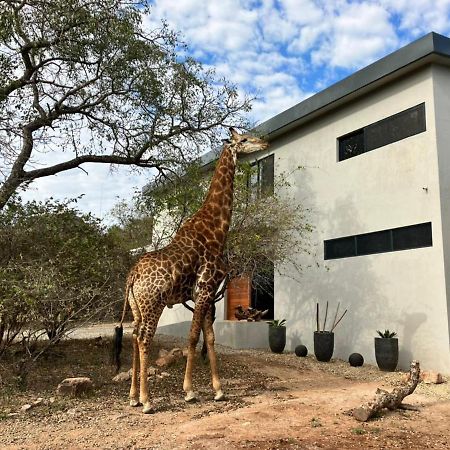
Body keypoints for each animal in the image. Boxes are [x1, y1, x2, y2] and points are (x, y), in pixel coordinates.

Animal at [114, 127, 268, 414]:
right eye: (244, 139)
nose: (264, 142)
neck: (216, 228)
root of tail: (133, 275)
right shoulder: (206, 288)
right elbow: (193, 337)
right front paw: (189, 391)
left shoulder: (203, 294)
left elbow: (210, 338)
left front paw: (219, 390)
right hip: (153, 304)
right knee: (144, 339)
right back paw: (147, 401)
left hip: (136, 307)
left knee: (134, 336)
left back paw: (132, 397)